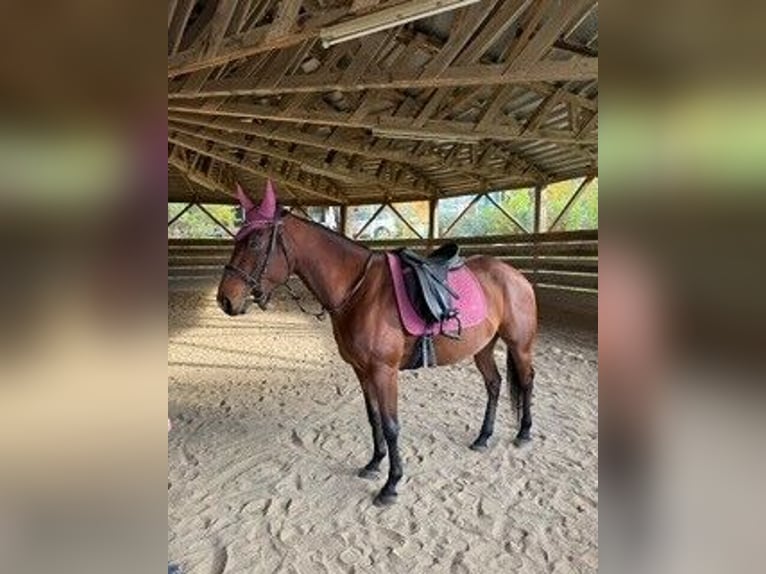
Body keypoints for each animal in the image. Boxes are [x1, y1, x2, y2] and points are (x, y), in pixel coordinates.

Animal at [217, 182, 537, 506]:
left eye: (256, 242)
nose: (225, 299)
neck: (360, 293)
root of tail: (515, 275)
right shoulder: (362, 370)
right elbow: (374, 419)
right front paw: (373, 463)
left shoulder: (384, 371)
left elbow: (391, 425)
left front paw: (391, 484)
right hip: (483, 347)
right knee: (494, 384)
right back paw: (483, 437)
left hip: (519, 346)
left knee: (526, 381)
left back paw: (523, 433)